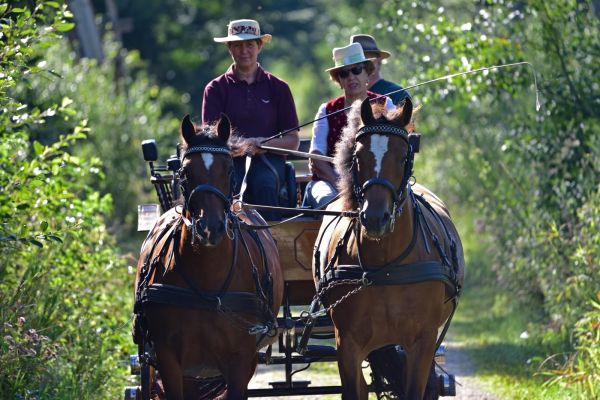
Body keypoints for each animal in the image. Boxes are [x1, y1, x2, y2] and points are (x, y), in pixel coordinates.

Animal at [134, 114, 284, 398]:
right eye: (185, 172)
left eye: (229, 170)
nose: (210, 227)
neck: (206, 281)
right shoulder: (167, 357)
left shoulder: (241, 359)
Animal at [314, 98, 464, 398]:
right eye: (358, 157)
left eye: (404, 156)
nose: (375, 218)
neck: (386, 265)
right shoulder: (347, 342)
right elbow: (354, 391)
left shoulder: (423, 339)